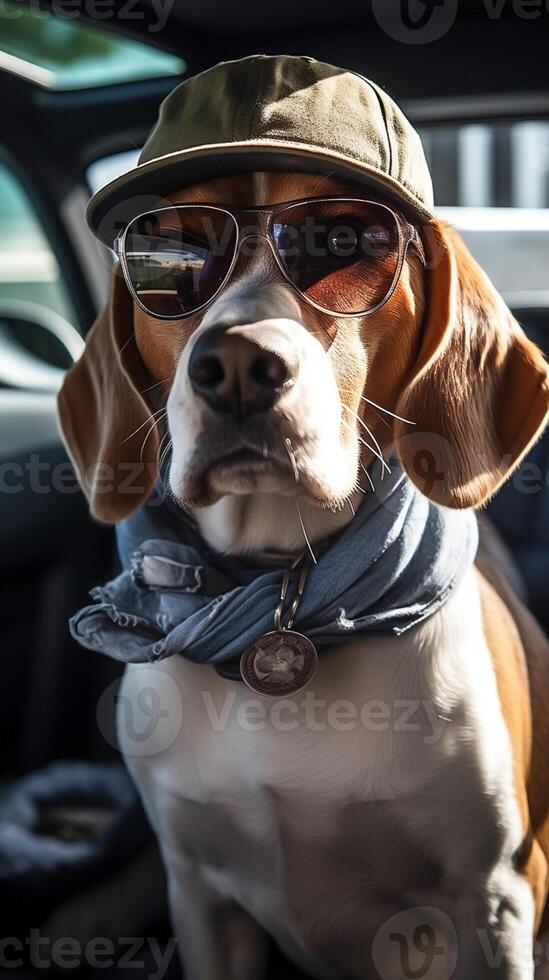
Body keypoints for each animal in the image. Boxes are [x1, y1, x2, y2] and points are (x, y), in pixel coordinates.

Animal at [55, 59, 548, 980]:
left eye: (346, 240)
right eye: (172, 248)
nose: (238, 365)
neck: (275, 598)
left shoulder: (494, 901)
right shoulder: (198, 894)